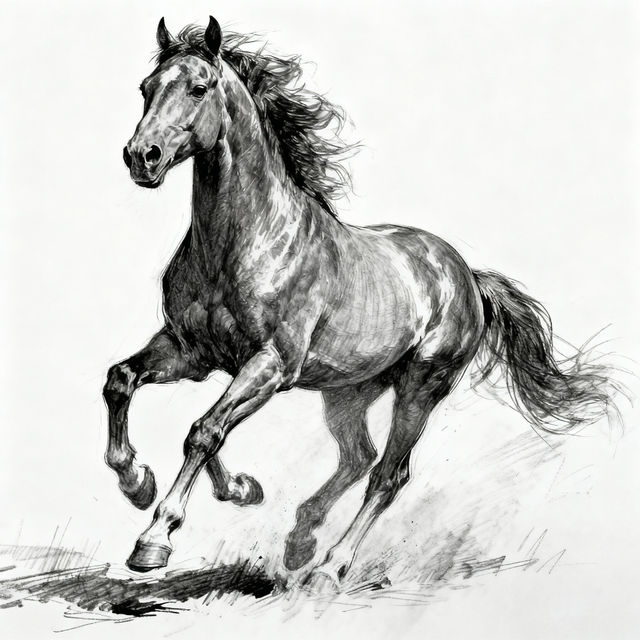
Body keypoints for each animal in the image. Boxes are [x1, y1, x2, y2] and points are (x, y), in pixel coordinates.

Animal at [104, 16, 614, 589]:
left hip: (421, 388)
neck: (245, 240)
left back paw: (331, 567)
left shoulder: (271, 365)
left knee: (389, 473)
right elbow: (127, 383)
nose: (141, 157)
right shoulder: (192, 352)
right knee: (358, 457)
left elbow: (204, 430)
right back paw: (301, 541)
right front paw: (149, 483)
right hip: (348, 391)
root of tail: (466, 276)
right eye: (146, 89)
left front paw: (154, 540)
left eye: (199, 87)